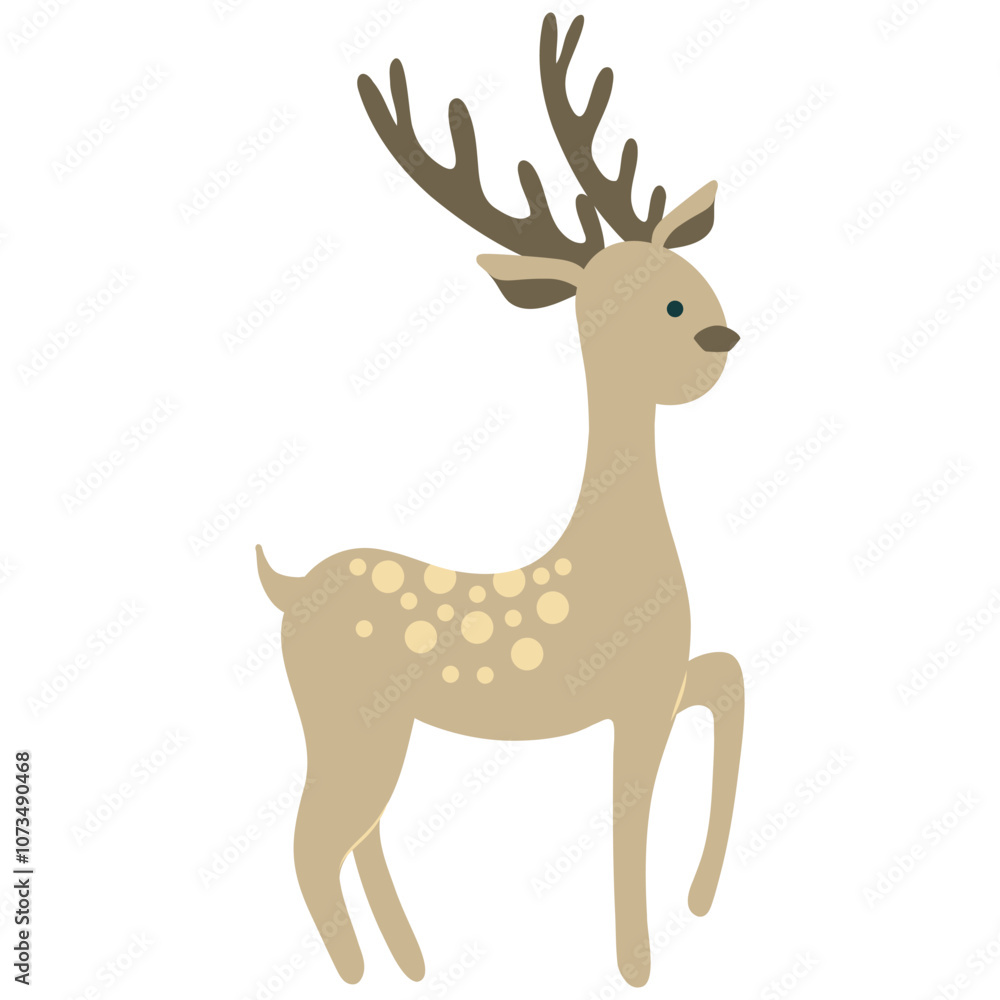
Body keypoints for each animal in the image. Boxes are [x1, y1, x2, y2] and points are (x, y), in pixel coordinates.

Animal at [256, 12, 745, 989]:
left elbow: (731, 681)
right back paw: (360, 974)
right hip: (348, 729)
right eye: (658, 304)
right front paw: (637, 966)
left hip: (377, 732)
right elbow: (628, 819)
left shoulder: (667, 679)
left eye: (684, 276)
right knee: (312, 840)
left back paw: (411, 963)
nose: (722, 338)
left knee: (357, 836)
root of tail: (285, 588)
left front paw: (702, 897)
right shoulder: (633, 698)